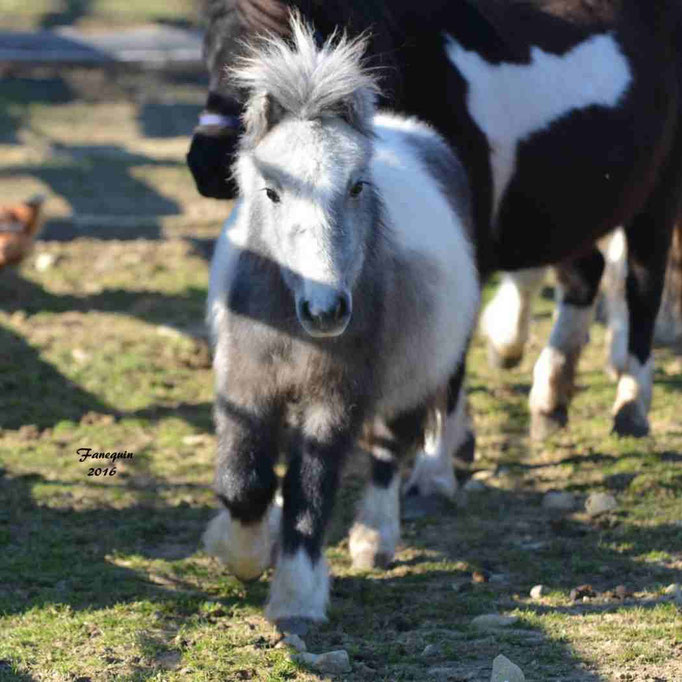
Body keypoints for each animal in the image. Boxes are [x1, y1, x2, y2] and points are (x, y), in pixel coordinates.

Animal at [190, 0, 680, 494]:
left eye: (279, 38)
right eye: (209, 50)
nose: (206, 164)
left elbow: (449, 361)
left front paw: (435, 470)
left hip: (656, 198)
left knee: (642, 286)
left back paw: (631, 407)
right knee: (586, 273)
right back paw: (550, 398)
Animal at [205, 18, 476, 628]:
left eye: (356, 185)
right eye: (271, 190)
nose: (326, 311)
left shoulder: (336, 399)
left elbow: (312, 489)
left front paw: (296, 599)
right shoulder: (246, 386)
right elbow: (244, 481)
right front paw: (242, 553)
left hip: (415, 374)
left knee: (387, 451)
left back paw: (375, 539)